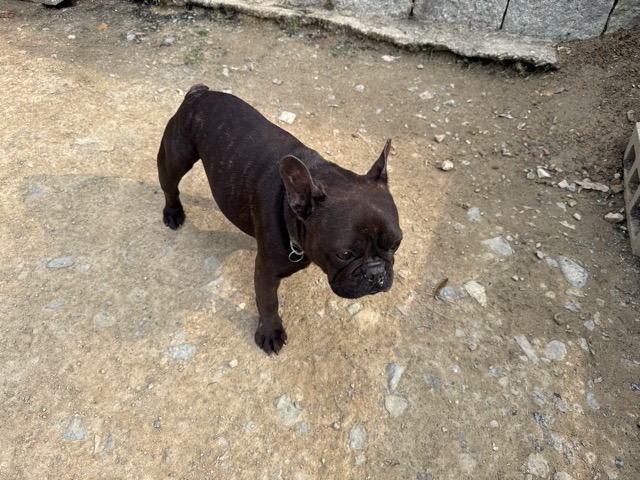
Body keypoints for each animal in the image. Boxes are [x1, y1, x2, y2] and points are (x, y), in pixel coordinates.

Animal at [157, 84, 402, 354]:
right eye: (344, 254)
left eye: (396, 243)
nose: (376, 273)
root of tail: (199, 93)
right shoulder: (266, 271)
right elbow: (268, 302)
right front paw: (270, 332)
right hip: (176, 157)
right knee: (170, 184)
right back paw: (173, 212)